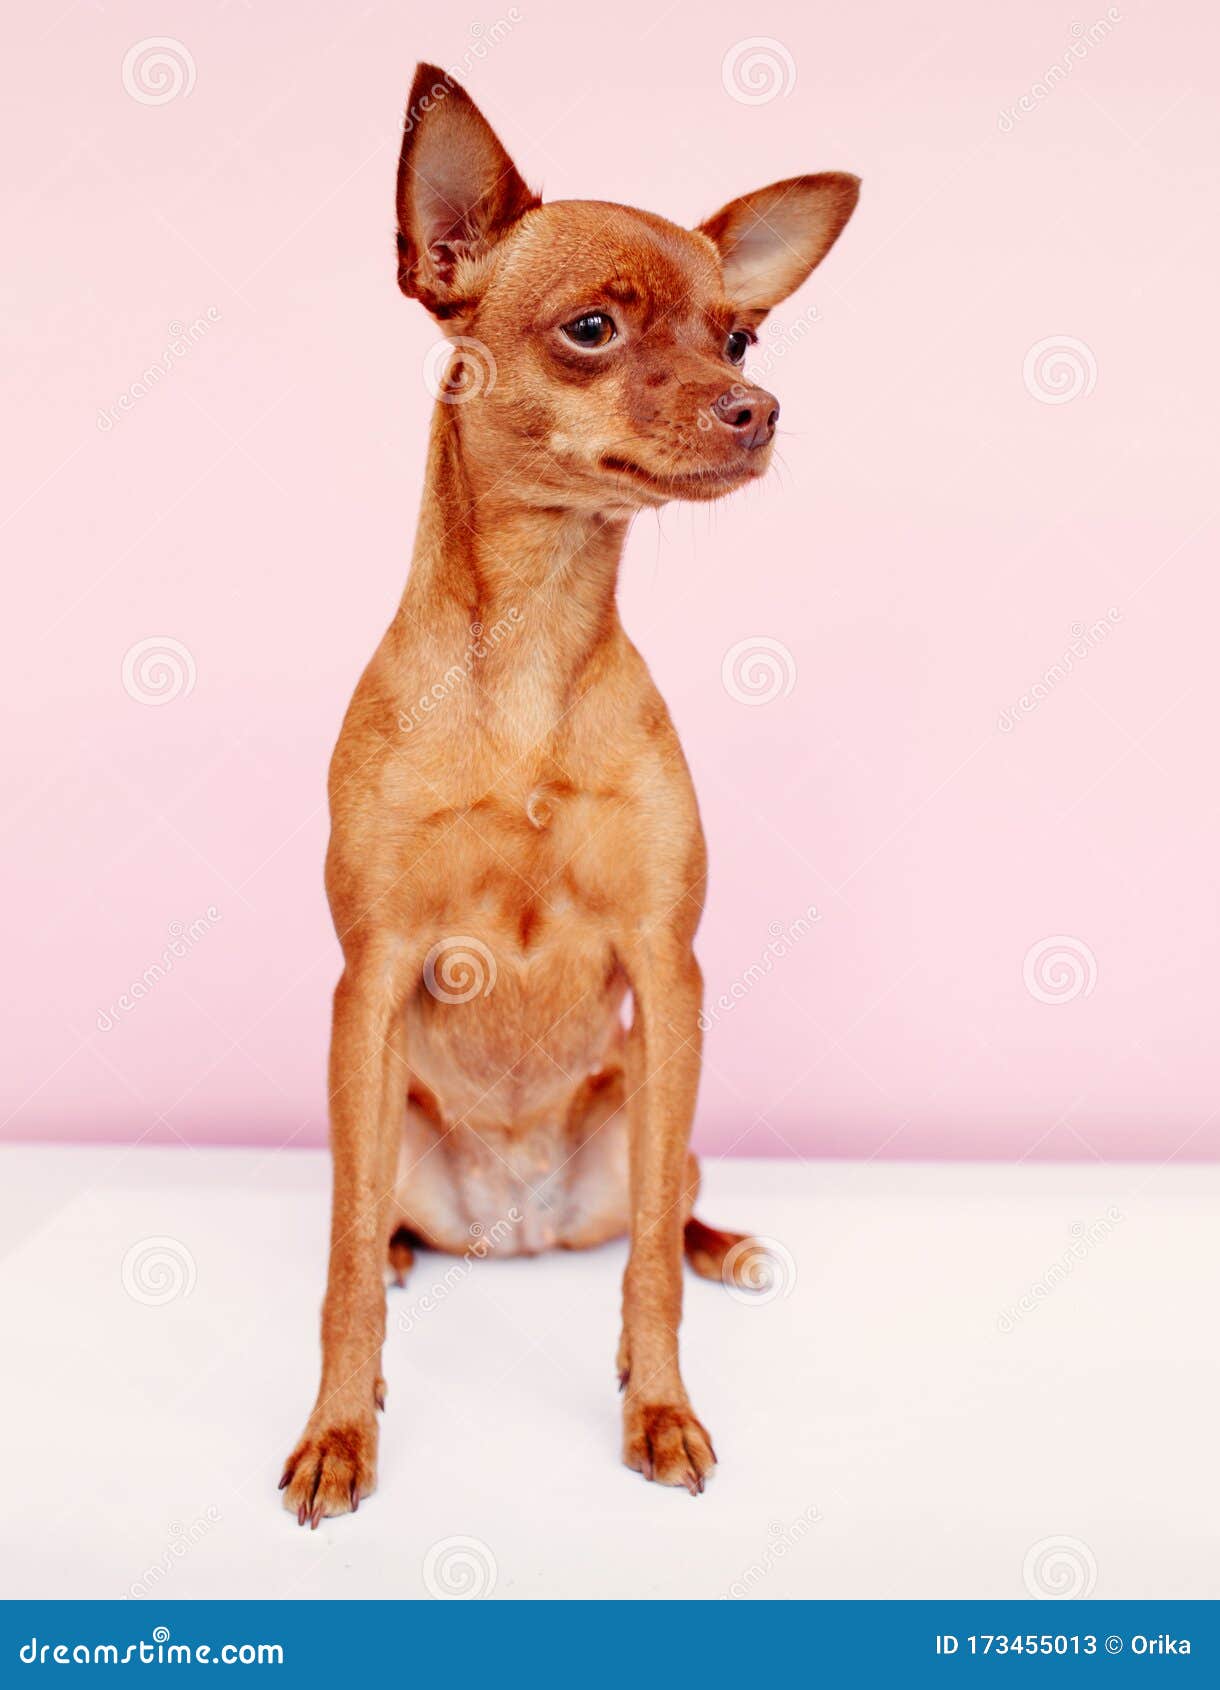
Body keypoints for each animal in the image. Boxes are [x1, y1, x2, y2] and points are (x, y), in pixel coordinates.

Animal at [282, 65, 861, 1527]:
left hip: (652, 1101)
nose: (756, 409)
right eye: (592, 329)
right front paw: (338, 1432)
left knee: (658, 1209)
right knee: (376, 1220)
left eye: (741, 340)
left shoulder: (667, 972)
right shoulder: (372, 976)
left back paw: (728, 1243)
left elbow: (647, 1258)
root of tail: (522, 1223)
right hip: (382, 1110)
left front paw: (658, 1408)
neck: (535, 647)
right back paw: (414, 1248)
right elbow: (342, 1271)